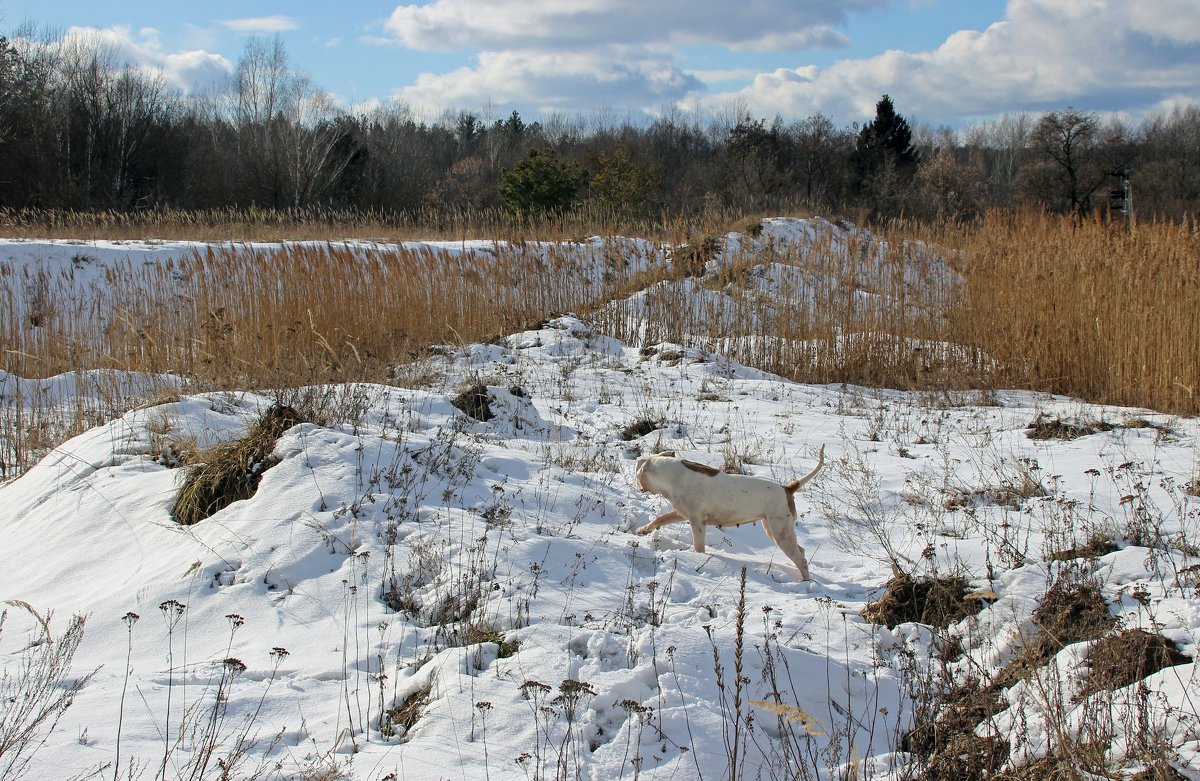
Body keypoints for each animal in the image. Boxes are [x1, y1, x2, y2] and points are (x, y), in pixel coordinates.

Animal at [638, 446, 825, 580]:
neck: (673, 476)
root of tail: (787, 488)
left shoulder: (697, 521)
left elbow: (699, 547)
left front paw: (697, 559)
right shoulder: (682, 513)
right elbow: (660, 518)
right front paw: (643, 529)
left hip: (781, 533)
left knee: (802, 560)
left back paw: (806, 583)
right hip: (775, 530)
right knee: (801, 551)